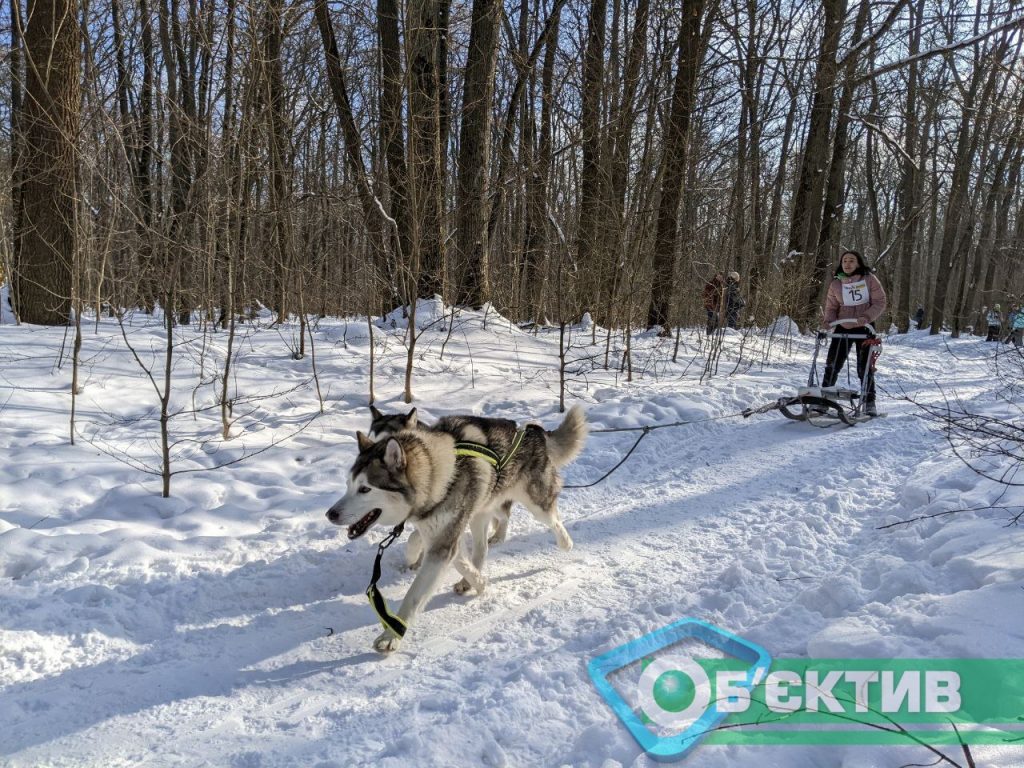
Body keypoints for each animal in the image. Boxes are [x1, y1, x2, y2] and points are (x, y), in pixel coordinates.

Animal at [323, 405, 589, 651]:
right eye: (348, 485)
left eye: (365, 489)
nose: (330, 514)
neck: (437, 475)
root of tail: (535, 431)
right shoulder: (440, 532)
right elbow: (452, 556)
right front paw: (478, 582)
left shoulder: (444, 538)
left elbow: (414, 594)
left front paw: (392, 635)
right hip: (480, 511)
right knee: (481, 547)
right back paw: (470, 576)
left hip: (535, 503)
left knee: (551, 519)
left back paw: (565, 543)